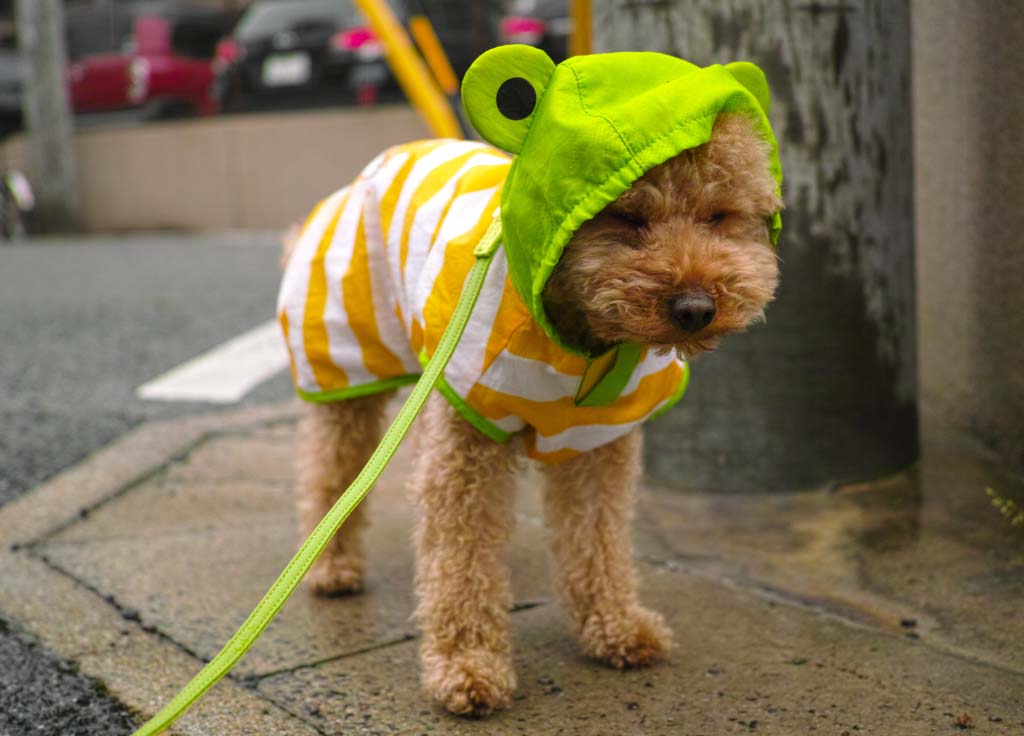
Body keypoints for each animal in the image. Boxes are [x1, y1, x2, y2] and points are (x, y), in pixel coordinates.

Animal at [276, 48, 778, 716]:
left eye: (719, 216)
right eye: (627, 218)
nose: (696, 309)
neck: (583, 340)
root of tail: (363, 174)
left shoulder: (599, 437)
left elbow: (596, 537)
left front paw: (616, 627)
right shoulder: (466, 438)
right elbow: (459, 557)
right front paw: (467, 668)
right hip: (344, 356)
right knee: (331, 467)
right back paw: (329, 567)